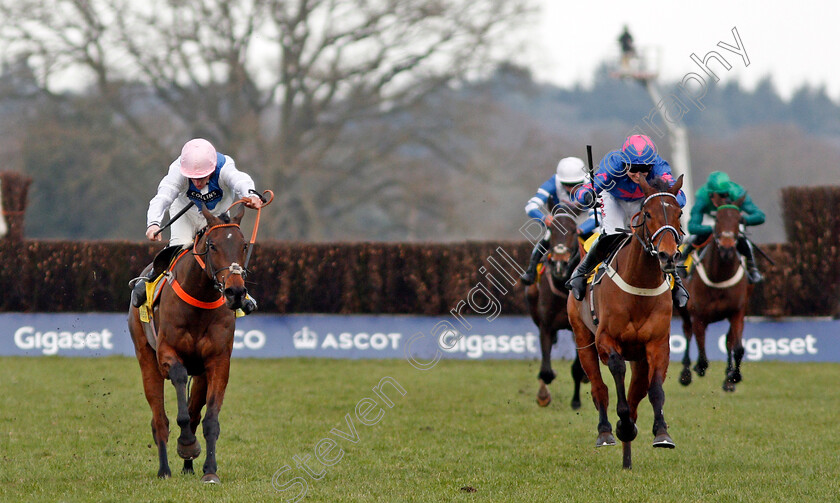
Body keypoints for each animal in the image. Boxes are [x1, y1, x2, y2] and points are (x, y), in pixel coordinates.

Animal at [128, 205, 251, 484]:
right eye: (213, 245)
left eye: (244, 245)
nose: (236, 292)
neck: (200, 300)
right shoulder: (167, 354)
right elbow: (179, 383)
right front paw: (185, 443)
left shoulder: (217, 362)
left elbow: (209, 419)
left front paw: (210, 470)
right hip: (146, 359)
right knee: (159, 420)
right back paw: (164, 469)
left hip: (201, 374)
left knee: (195, 413)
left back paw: (187, 466)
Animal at [524, 203, 584, 412]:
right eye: (551, 229)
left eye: (574, 230)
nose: (559, 264)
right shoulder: (546, 326)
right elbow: (546, 370)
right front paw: (543, 395)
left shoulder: (579, 329)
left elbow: (577, 368)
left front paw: (576, 401)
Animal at [568, 175, 684, 470]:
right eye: (648, 213)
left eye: (678, 213)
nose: (668, 256)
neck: (640, 285)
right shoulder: (606, 340)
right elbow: (616, 372)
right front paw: (620, 425)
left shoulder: (657, 344)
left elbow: (655, 390)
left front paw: (662, 433)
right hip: (582, 339)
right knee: (599, 387)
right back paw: (607, 432)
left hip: (639, 358)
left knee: (637, 393)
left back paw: (628, 450)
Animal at [676, 194, 756, 394]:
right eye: (717, 219)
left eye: (739, 219)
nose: (727, 249)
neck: (719, 276)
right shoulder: (698, 314)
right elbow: (702, 351)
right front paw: (698, 368)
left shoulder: (737, 312)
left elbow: (738, 347)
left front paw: (734, 377)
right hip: (682, 308)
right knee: (687, 332)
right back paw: (686, 373)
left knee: (728, 341)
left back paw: (728, 378)